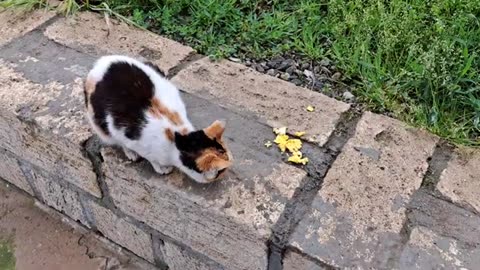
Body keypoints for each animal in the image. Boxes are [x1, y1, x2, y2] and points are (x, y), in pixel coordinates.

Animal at [85, 54, 233, 184]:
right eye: (222, 171)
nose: (228, 168)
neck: (178, 138)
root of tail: (101, 63)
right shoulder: (132, 139)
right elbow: (150, 158)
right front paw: (162, 168)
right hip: (100, 125)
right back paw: (131, 154)